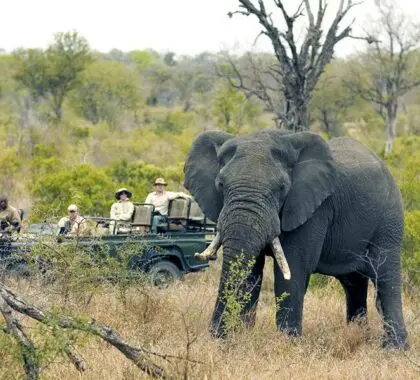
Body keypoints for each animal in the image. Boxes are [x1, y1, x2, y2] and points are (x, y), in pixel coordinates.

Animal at [184, 129, 406, 348]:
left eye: (282, 187)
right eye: (220, 184)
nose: (215, 336)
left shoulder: (313, 209)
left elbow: (293, 270)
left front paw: (287, 345)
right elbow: (251, 273)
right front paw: (239, 338)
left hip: (389, 219)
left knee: (386, 279)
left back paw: (394, 349)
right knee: (354, 283)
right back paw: (360, 337)